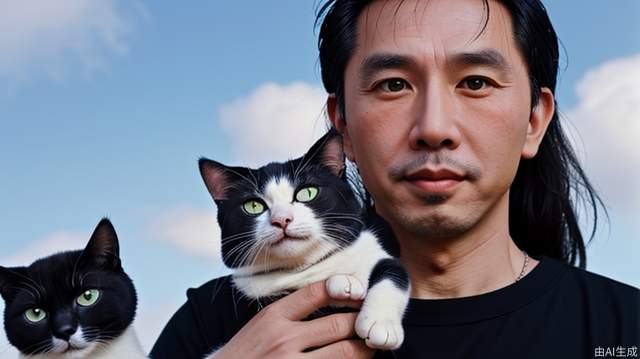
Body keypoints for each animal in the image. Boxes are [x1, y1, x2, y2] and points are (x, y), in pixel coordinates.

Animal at [199, 130, 410, 352]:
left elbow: (392, 270)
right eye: (253, 206)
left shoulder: (374, 251)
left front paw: (381, 325)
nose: (281, 219)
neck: (302, 269)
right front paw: (346, 283)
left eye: (307, 193)